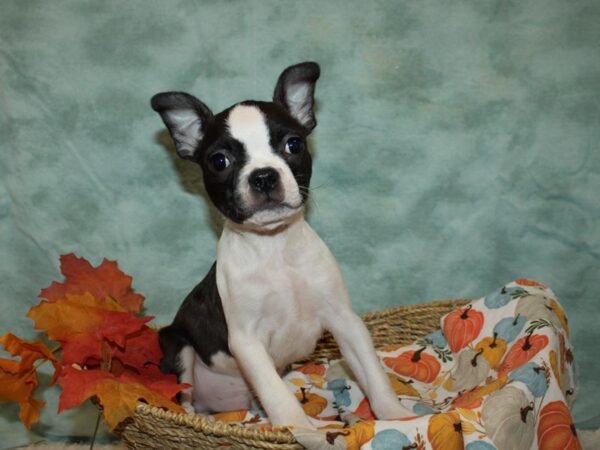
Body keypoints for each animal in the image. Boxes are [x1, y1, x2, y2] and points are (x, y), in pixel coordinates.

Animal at [151, 61, 412, 428]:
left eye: (293, 145)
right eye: (219, 162)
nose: (263, 175)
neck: (275, 250)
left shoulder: (345, 321)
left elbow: (374, 375)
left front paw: (398, 418)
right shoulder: (247, 342)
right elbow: (278, 396)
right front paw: (300, 429)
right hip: (177, 345)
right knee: (184, 394)